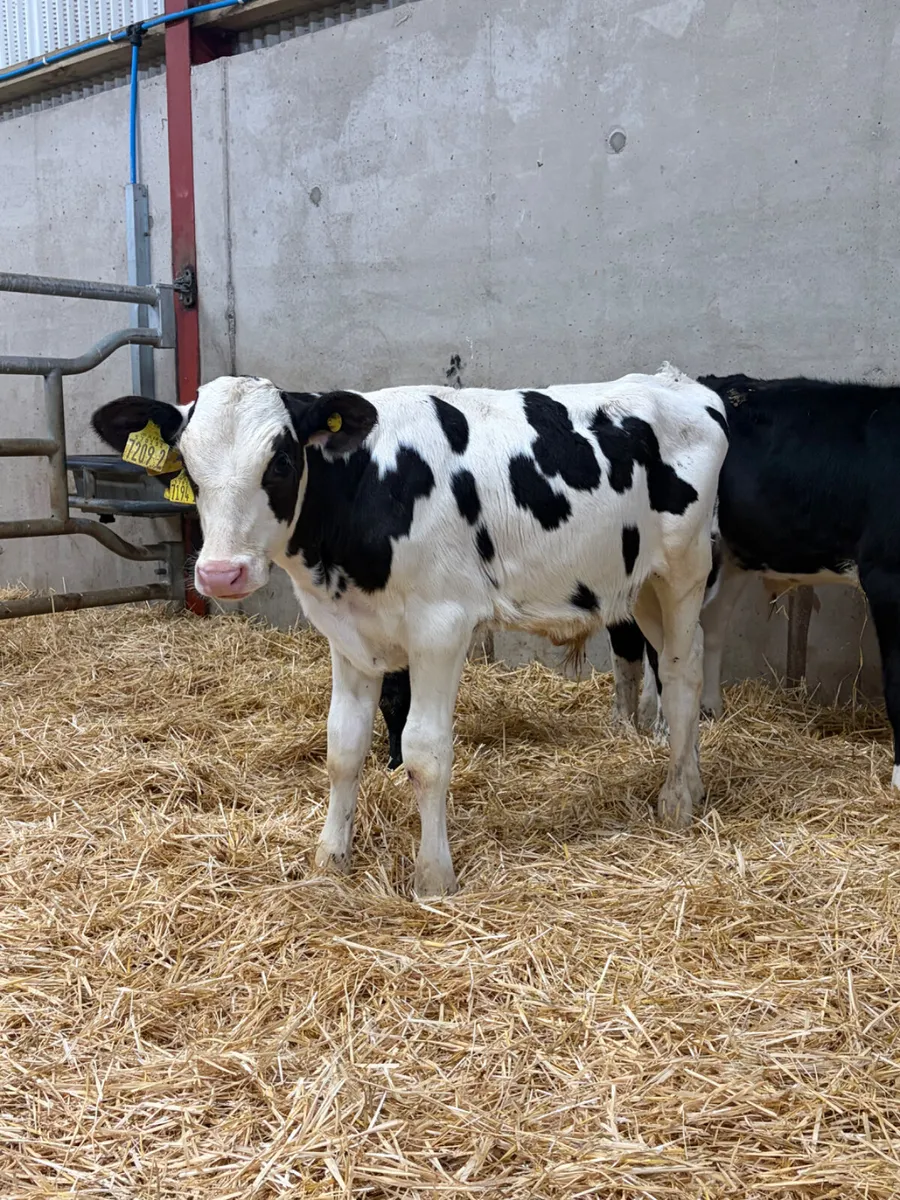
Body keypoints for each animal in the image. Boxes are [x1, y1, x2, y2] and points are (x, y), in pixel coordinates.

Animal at [91, 366, 727, 896]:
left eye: (281, 462)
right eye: (187, 467)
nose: (220, 573)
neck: (370, 486)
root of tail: (677, 382)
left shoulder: (441, 627)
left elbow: (425, 752)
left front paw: (433, 877)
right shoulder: (347, 634)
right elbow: (344, 747)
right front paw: (331, 859)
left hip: (685, 570)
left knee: (682, 673)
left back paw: (676, 799)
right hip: (641, 585)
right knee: (688, 657)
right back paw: (692, 783)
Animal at [604, 372, 900, 792]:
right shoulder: (886, 578)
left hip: (728, 557)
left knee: (708, 628)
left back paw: (704, 712)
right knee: (647, 640)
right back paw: (648, 726)